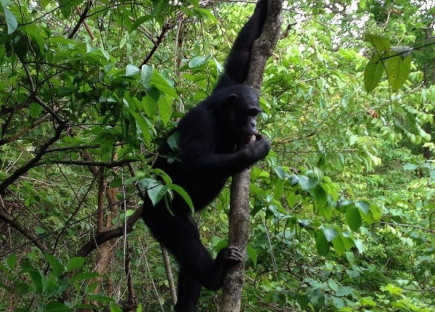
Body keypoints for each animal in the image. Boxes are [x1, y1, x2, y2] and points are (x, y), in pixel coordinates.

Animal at [143, 1, 270, 310]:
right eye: (250, 113)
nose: (254, 124)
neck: (222, 118)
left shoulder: (228, 81)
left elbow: (242, 55)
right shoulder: (201, 123)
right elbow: (192, 165)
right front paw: (254, 151)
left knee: (188, 262)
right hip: (161, 213)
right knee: (186, 242)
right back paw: (215, 273)